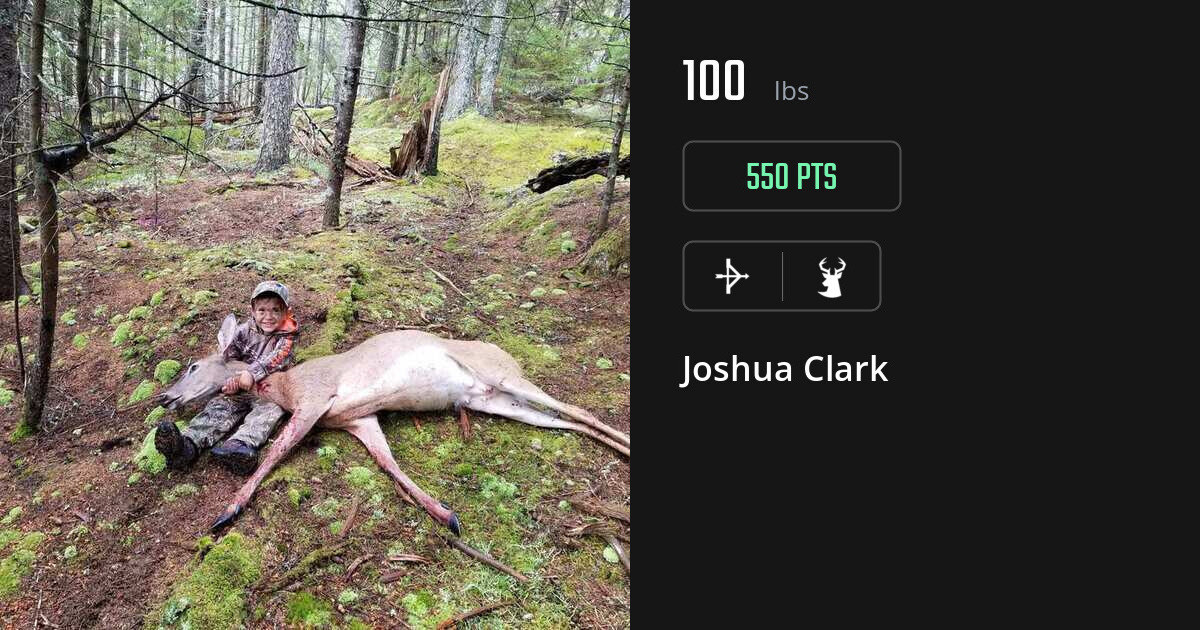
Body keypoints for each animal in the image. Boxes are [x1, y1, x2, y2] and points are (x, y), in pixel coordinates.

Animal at [156, 314, 630, 535]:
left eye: (193, 365)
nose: (164, 397)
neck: (286, 387)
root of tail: (503, 354)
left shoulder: (315, 400)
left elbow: (275, 452)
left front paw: (227, 511)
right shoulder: (359, 418)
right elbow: (387, 464)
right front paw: (446, 515)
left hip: (504, 376)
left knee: (580, 410)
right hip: (497, 402)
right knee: (566, 421)